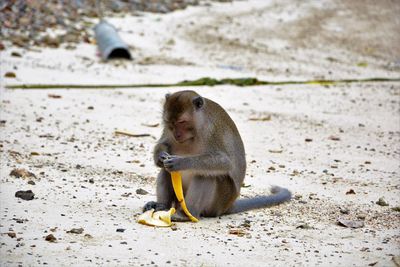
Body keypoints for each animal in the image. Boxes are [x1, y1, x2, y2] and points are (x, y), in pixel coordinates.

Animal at [144, 90, 290, 222]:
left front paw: (181, 162)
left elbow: (225, 162)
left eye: (181, 122)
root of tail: (227, 206)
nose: (177, 135)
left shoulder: (211, 131)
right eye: (170, 122)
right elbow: (164, 144)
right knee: (166, 171)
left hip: (219, 202)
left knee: (206, 175)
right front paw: (160, 157)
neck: (195, 131)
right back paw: (162, 206)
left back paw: (187, 214)